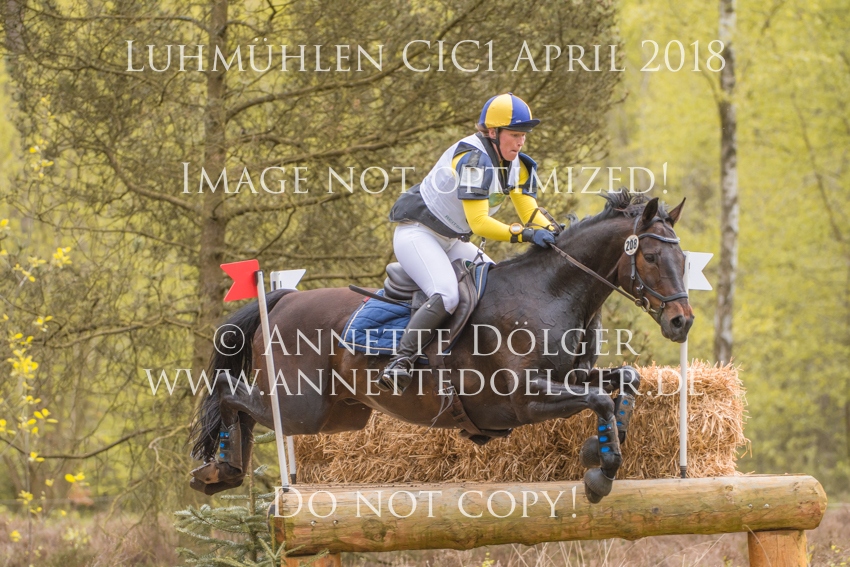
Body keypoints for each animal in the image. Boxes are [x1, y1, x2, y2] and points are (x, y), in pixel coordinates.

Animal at [188, 192, 693, 503]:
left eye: (684, 258)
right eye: (650, 256)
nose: (681, 322)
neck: (552, 292)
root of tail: (285, 298)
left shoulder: (568, 376)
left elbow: (623, 381)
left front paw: (603, 446)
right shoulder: (525, 399)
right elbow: (600, 399)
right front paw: (602, 471)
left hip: (340, 414)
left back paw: (221, 470)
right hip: (302, 408)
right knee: (232, 394)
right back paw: (221, 470)